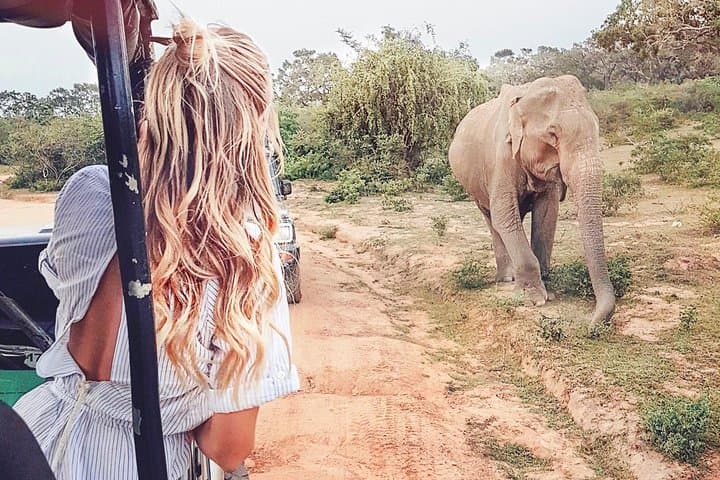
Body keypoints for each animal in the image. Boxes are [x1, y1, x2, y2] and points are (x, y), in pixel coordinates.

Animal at [449, 75, 615, 328]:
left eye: (597, 128)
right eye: (553, 135)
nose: (591, 322)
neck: (524, 96)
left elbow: (547, 214)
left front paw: (549, 291)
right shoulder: (500, 159)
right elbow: (504, 214)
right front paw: (535, 300)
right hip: (473, 186)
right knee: (492, 219)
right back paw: (507, 279)